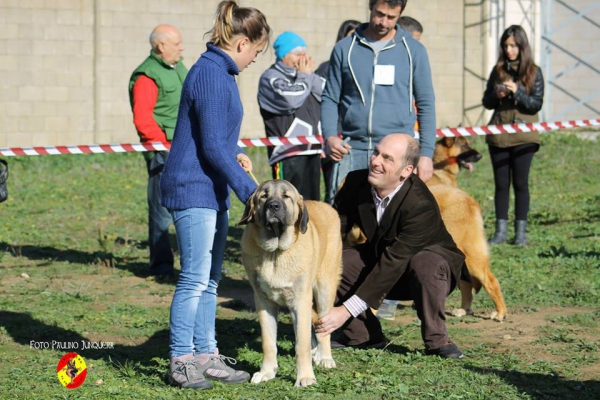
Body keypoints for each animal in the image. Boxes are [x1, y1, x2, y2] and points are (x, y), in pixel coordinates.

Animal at [238, 180, 342, 386]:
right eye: (264, 196)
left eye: (286, 197)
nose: (273, 206)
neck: (275, 252)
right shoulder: (264, 302)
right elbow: (268, 342)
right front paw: (266, 372)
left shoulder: (300, 300)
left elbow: (301, 344)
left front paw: (305, 377)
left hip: (324, 289)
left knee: (324, 326)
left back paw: (325, 357)